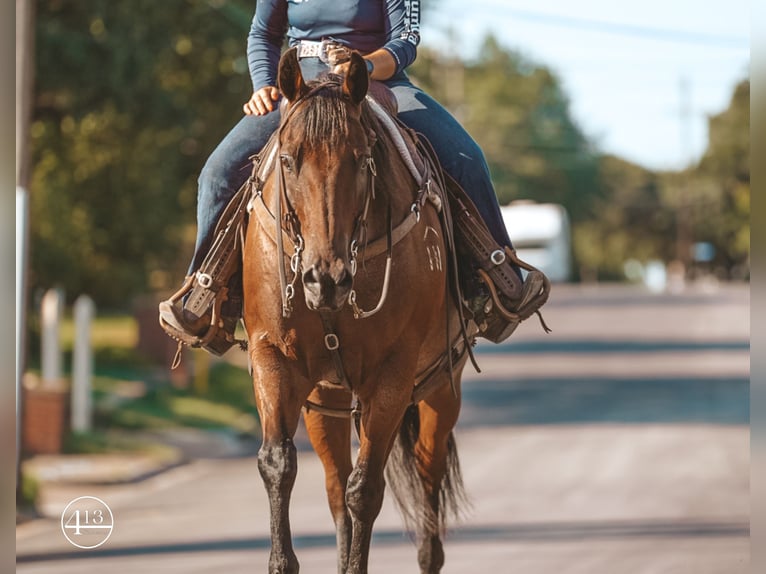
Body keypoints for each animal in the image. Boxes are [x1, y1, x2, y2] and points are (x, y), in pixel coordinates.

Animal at [244, 47, 474, 572]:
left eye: (362, 158)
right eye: (287, 160)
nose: (324, 278)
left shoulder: (391, 375)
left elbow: (366, 489)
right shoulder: (273, 357)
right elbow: (278, 464)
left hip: (439, 391)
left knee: (425, 479)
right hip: (324, 401)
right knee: (334, 486)